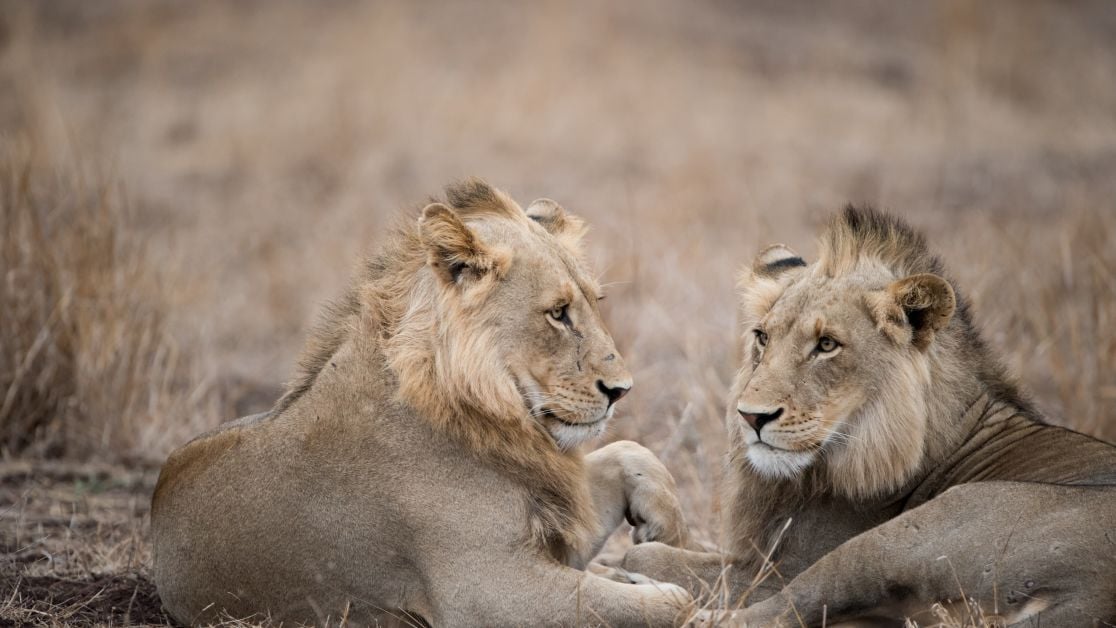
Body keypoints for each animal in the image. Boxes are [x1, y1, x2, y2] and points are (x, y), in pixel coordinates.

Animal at [152, 178, 691, 628]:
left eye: (595, 303)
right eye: (558, 313)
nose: (621, 390)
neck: (496, 415)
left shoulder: (556, 525)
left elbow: (631, 451)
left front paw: (662, 528)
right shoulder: (488, 590)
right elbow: (662, 606)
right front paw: (666, 589)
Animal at [624, 207, 1116, 628]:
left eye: (826, 345)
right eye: (763, 337)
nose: (751, 417)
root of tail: (1091, 599)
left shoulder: (774, 568)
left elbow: (656, 557)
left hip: (895, 539)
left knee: (775, 609)